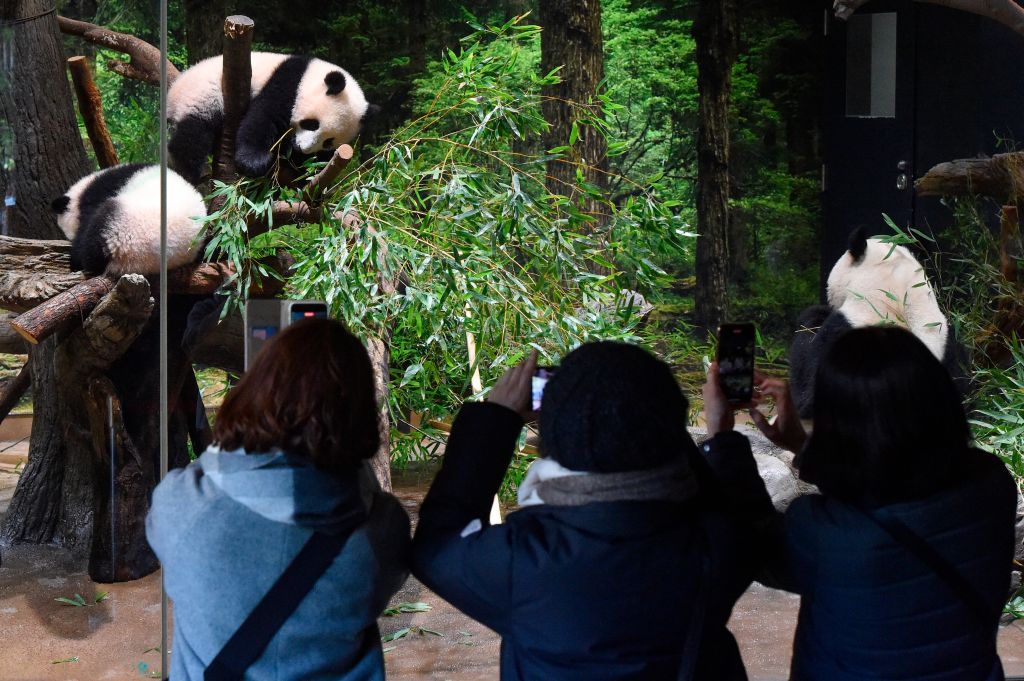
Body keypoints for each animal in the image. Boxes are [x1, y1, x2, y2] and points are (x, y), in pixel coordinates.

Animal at [167, 52, 372, 185]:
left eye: (328, 141)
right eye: (312, 124)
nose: (303, 148)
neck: (310, 75)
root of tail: (173, 90)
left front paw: (304, 170)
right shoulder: (287, 82)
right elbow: (263, 117)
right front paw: (254, 162)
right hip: (202, 96)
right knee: (192, 136)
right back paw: (186, 175)